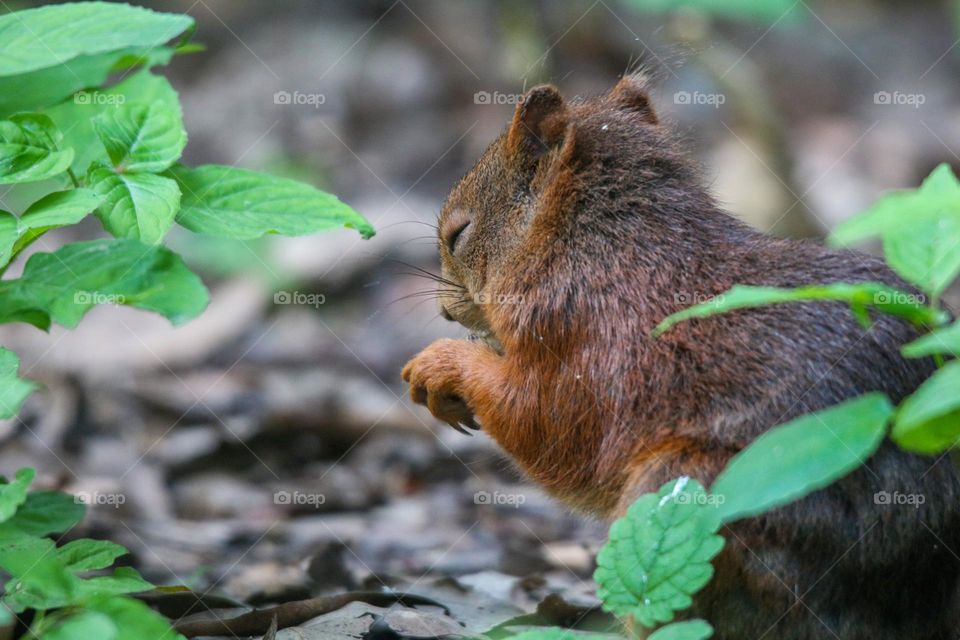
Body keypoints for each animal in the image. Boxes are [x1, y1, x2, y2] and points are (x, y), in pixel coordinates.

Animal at [400, 76, 960, 640]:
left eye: (458, 234)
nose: (446, 311)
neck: (597, 248)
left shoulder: (584, 344)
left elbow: (546, 425)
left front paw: (440, 365)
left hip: (698, 489)